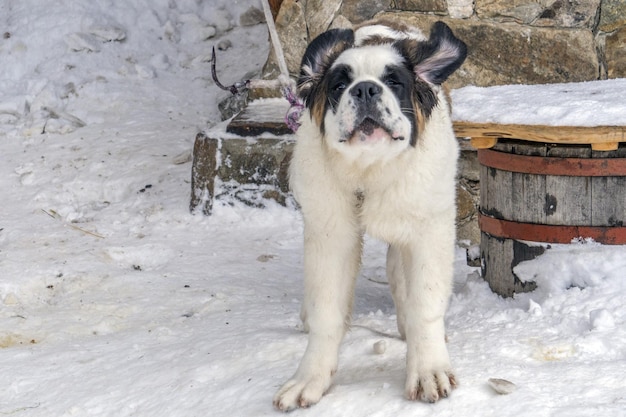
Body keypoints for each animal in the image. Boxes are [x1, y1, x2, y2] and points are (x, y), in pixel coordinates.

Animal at [272, 19, 464, 410]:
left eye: (394, 82)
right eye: (339, 85)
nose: (364, 90)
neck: (369, 171)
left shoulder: (428, 229)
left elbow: (426, 302)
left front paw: (429, 369)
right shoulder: (330, 232)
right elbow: (327, 311)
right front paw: (310, 378)